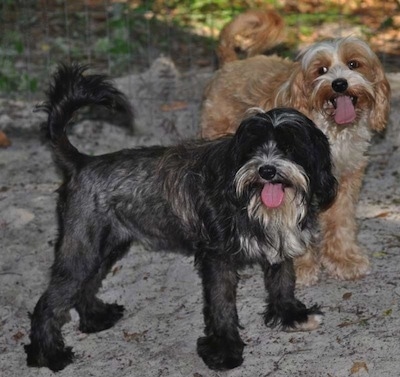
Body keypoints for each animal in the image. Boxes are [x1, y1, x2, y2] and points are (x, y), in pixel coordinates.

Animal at [25, 64, 338, 370]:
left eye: (290, 146)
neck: (249, 198)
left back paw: (95, 318)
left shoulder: (278, 247)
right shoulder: (217, 259)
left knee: (85, 287)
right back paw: (49, 355)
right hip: (81, 250)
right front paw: (225, 351)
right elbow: (222, 305)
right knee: (48, 304)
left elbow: (283, 283)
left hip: (105, 249)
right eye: (253, 147)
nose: (267, 170)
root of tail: (82, 162)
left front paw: (291, 317)